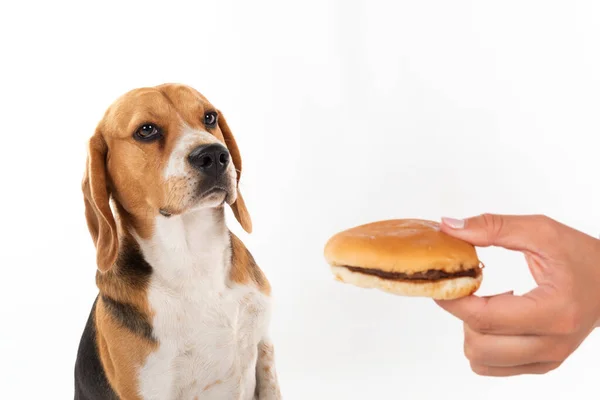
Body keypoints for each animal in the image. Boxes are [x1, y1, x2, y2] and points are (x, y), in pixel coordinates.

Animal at [72, 83, 282, 398]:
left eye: (210, 117)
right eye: (146, 130)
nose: (214, 155)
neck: (193, 257)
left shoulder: (263, 348)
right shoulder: (149, 387)